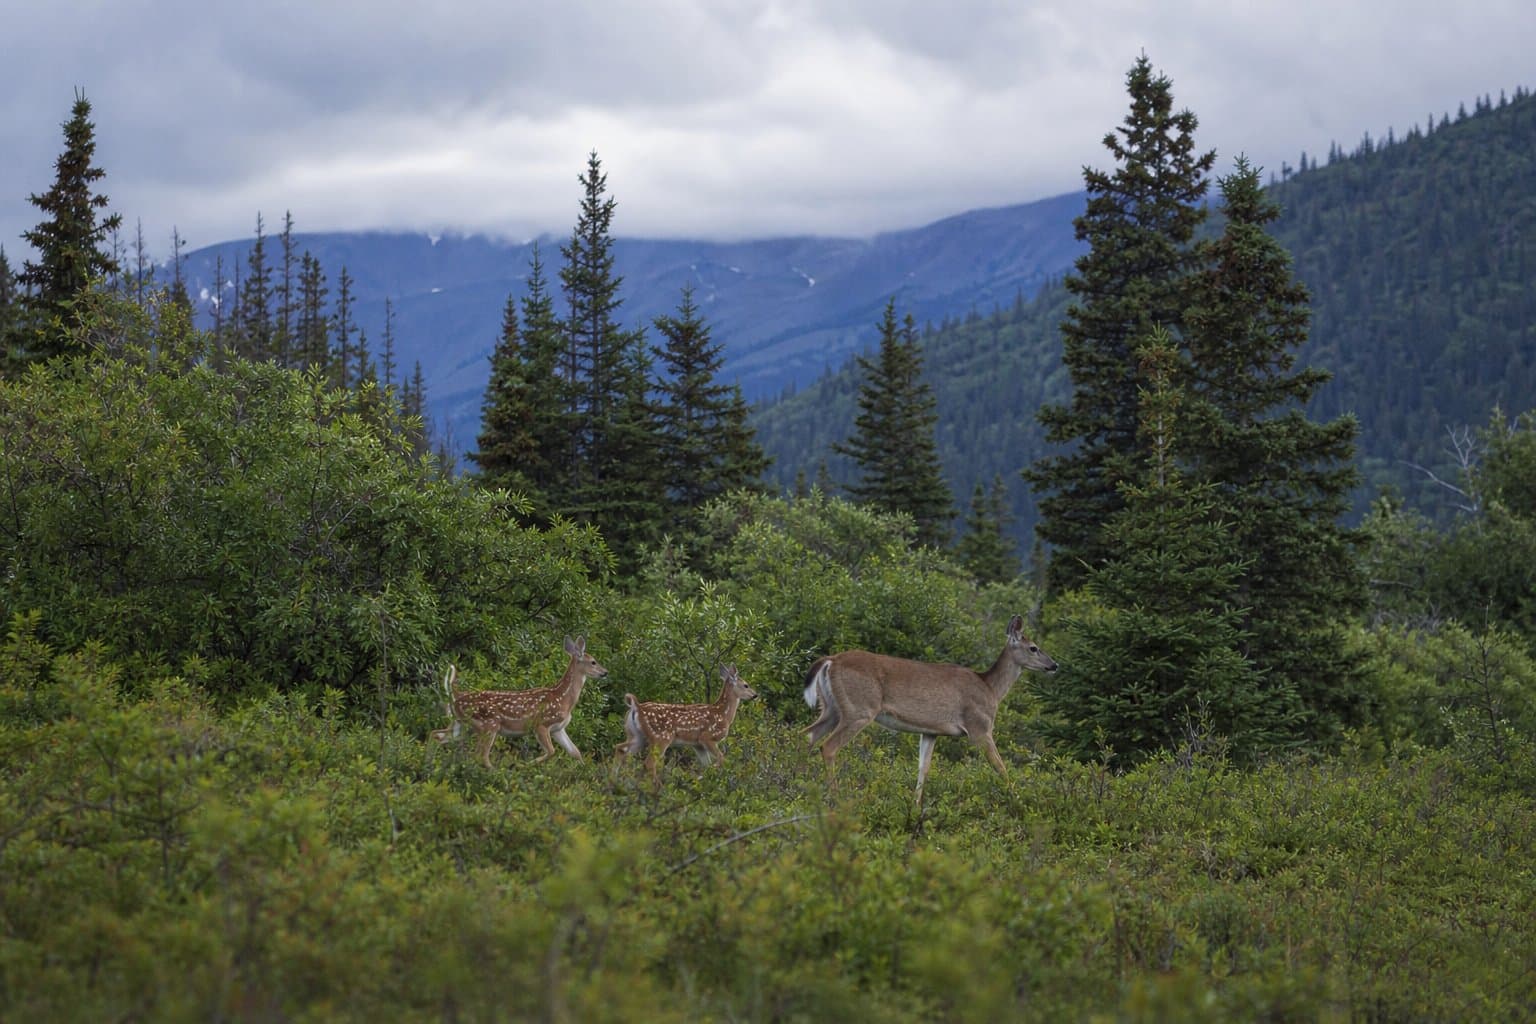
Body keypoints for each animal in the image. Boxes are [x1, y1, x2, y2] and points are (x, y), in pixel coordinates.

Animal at [430, 635, 608, 767]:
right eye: (593, 661)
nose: (605, 672)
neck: (564, 698)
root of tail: (456, 696)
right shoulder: (541, 724)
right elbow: (551, 752)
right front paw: (526, 765)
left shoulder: (558, 728)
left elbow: (575, 752)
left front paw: (586, 772)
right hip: (489, 724)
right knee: (480, 755)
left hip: (462, 725)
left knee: (437, 735)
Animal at [613, 664, 758, 784]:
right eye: (746, 685)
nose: (755, 695)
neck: (724, 714)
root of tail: (636, 707)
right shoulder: (707, 737)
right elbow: (722, 759)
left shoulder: (697, 745)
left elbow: (707, 765)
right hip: (660, 737)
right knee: (649, 763)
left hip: (637, 736)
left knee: (621, 748)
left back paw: (614, 782)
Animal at [802, 614, 1056, 803]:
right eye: (1034, 648)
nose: (1054, 665)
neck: (990, 689)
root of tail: (831, 660)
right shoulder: (979, 727)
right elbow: (1001, 767)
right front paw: (1020, 800)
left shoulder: (931, 731)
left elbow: (923, 769)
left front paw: (915, 806)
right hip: (859, 709)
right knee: (828, 746)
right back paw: (836, 797)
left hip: (832, 708)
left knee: (807, 735)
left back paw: (799, 781)